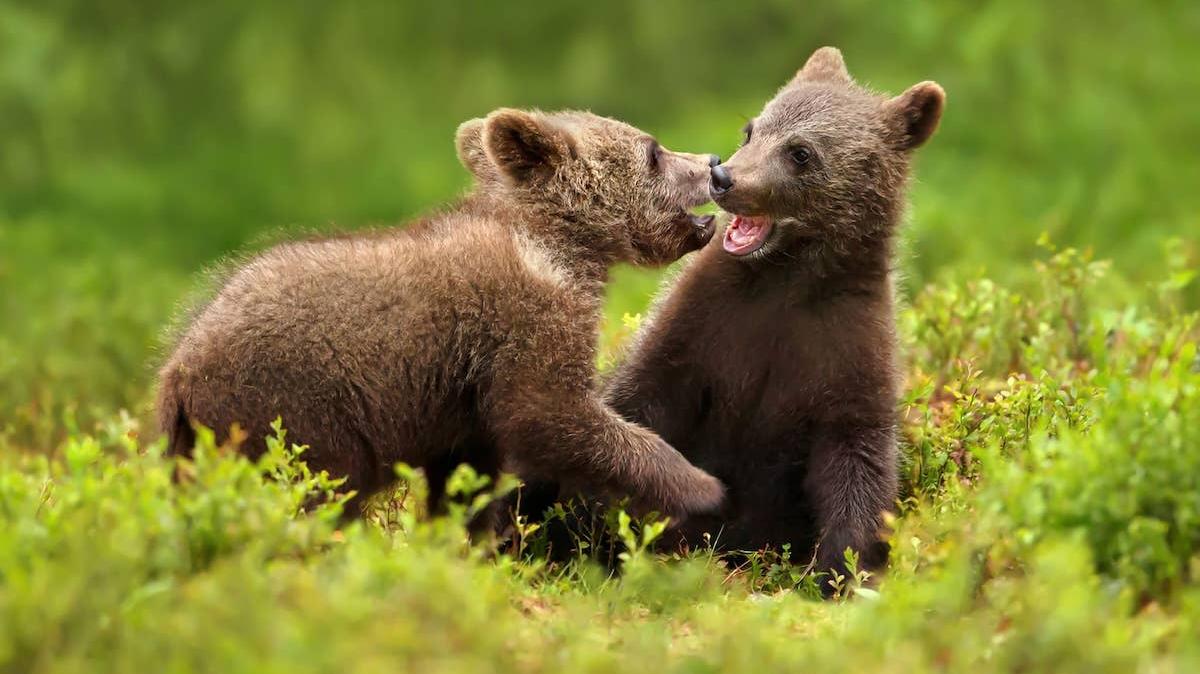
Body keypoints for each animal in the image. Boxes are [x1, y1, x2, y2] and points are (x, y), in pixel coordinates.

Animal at [156, 108, 727, 522]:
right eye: (653, 151)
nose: (711, 160)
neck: (562, 248)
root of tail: (177, 371)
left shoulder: (461, 396)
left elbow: (465, 475)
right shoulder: (520, 322)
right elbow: (550, 413)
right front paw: (701, 485)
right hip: (292, 406)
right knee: (313, 486)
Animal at [525, 48, 945, 591]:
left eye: (801, 152)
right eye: (751, 130)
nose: (724, 177)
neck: (786, 280)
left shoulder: (845, 344)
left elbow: (859, 455)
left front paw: (839, 567)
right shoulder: (703, 326)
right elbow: (640, 401)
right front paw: (588, 530)